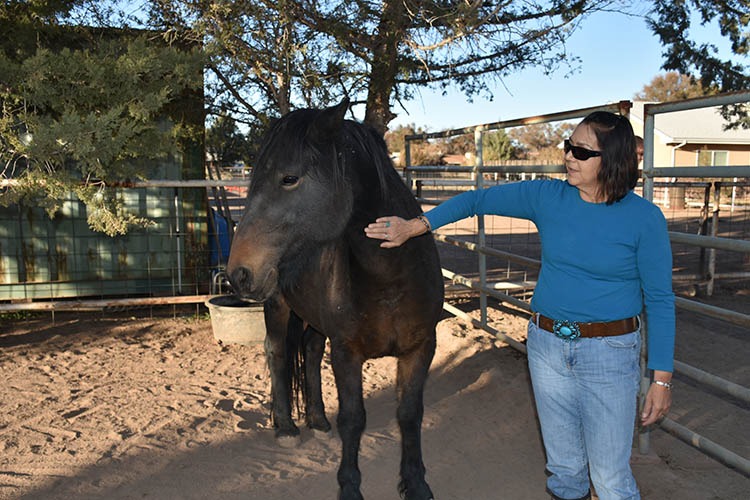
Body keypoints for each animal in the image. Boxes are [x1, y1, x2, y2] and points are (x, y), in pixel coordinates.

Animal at [226, 98, 444, 500]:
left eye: (289, 178)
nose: (239, 273)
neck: (390, 279)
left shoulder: (421, 348)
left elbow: (409, 415)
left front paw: (416, 483)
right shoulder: (347, 353)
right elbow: (353, 420)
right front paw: (349, 487)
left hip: (314, 319)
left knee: (310, 352)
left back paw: (316, 419)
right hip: (277, 307)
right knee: (277, 353)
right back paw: (286, 427)